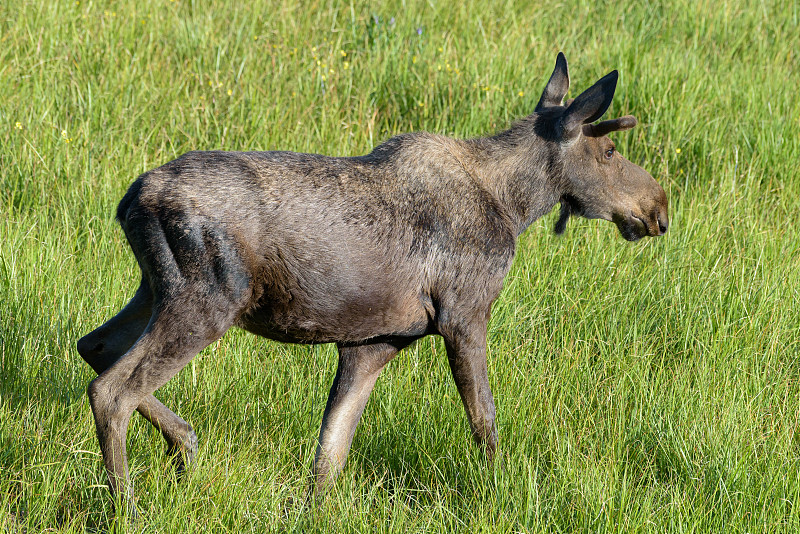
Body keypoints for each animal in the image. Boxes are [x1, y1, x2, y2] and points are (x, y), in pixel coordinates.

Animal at [76, 53, 668, 516]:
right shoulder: (464, 314)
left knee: (95, 345)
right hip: (207, 300)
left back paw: (185, 444)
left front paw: (308, 511)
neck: (515, 205)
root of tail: (131, 200)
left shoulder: (375, 341)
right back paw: (128, 505)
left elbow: (331, 451)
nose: (658, 208)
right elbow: (484, 420)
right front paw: (499, 492)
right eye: (609, 152)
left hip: (155, 289)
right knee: (112, 390)